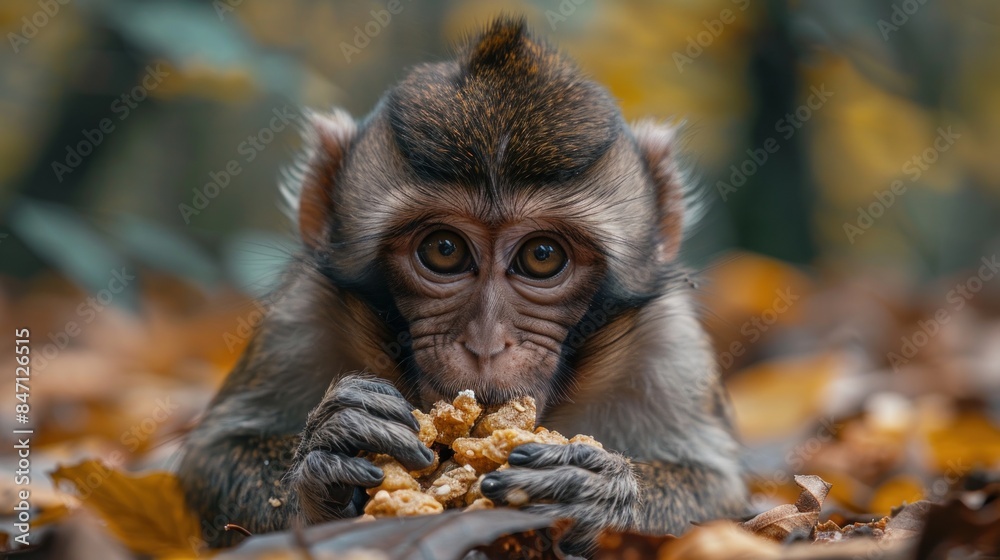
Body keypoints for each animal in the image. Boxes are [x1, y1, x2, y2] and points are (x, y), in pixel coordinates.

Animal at [176, 17, 747, 555]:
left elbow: (722, 494)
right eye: (444, 250)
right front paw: (327, 453)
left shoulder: (671, 347)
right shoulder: (301, 316)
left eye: (542, 256)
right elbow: (212, 456)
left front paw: (599, 491)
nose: (486, 345)